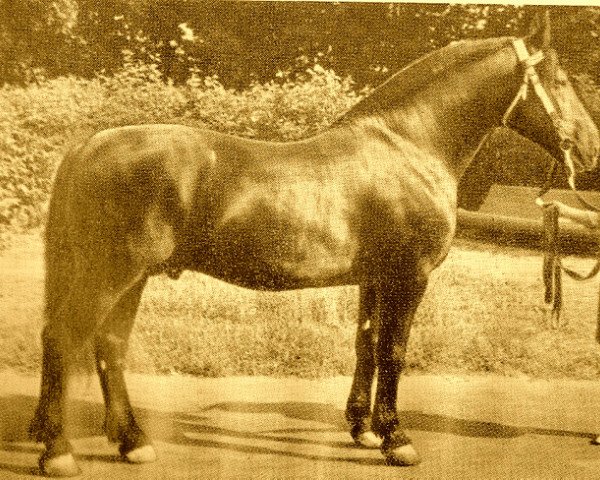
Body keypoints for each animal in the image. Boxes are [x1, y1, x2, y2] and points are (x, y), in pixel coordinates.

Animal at [30, 12, 600, 476]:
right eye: (561, 80)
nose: (591, 149)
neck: (408, 145)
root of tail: (92, 142)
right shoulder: (410, 276)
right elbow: (394, 350)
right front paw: (397, 439)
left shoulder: (375, 279)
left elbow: (366, 345)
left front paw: (363, 428)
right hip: (111, 272)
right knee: (63, 338)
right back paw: (59, 451)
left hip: (132, 277)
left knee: (109, 346)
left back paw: (132, 442)